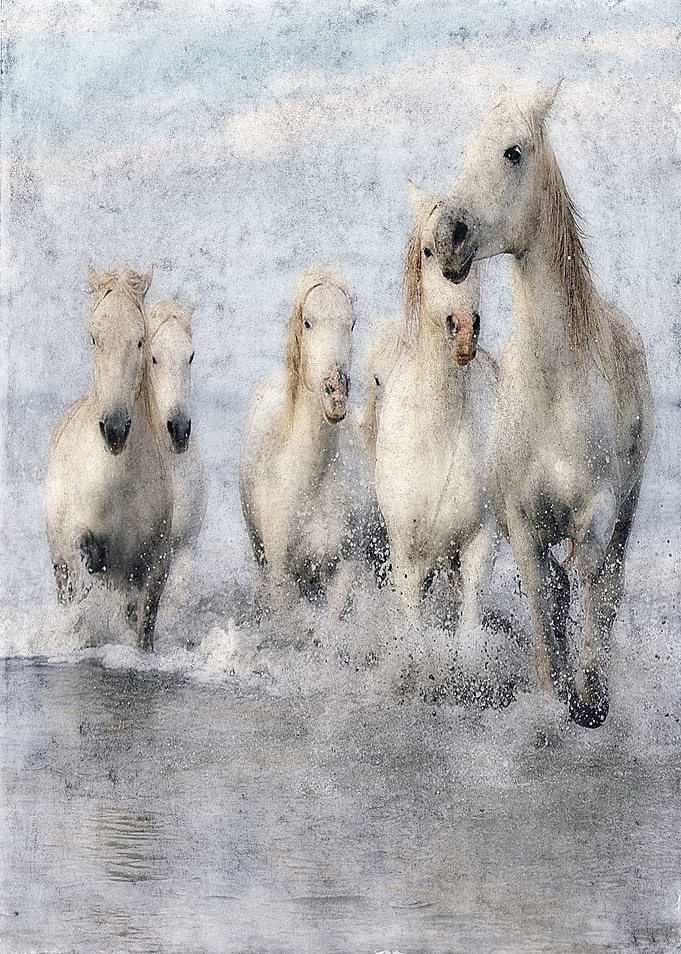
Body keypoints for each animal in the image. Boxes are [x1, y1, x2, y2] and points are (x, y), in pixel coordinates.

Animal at [45, 269, 173, 651]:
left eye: (140, 340)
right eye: (94, 337)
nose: (114, 429)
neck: (117, 482)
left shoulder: (156, 562)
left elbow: (143, 623)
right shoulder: (78, 538)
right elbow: (88, 553)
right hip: (59, 566)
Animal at [365, 184, 502, 673]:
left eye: (478, 251)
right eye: (428, 250)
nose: (463, 330)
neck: (436, 435)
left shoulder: (479, 541)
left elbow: (470, 632)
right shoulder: (407, 550)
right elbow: (414, 633)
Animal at [433, 83, 655, 727]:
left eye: (513, 152)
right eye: (468, 146)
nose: (447, 236)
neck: (553, 384)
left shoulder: (598, 514)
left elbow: (590, 591)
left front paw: (590, 697)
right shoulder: (523, 524)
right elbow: (542, 603)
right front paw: (553, 694)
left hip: (627, 513)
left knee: (607, 588)